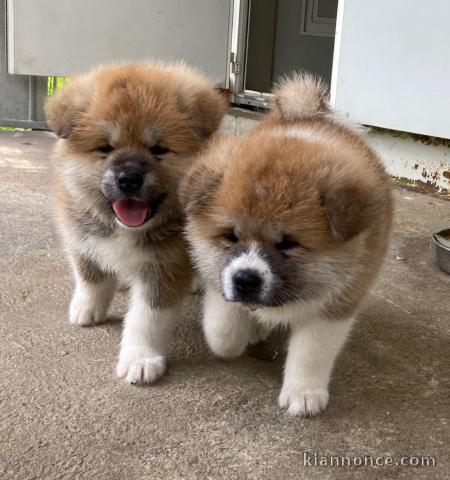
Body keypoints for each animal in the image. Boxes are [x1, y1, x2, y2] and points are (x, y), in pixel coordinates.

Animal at [45, 62, 225, 382]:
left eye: (158, 149)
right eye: (106, 148)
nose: (128, 179)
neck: (125, 230)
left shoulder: (165, 266)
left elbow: (147, 318)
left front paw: (140, 359)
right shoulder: (81, 238)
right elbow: (91, 278)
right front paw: (87, 309)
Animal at [181, 74, 392, 416]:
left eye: (289, 243)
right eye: (230, 236)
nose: (245, 280)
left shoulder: (338, 302)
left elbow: (311, 352)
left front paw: (303, 393)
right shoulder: (218, 276)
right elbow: (222, 334)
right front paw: (239, 334)